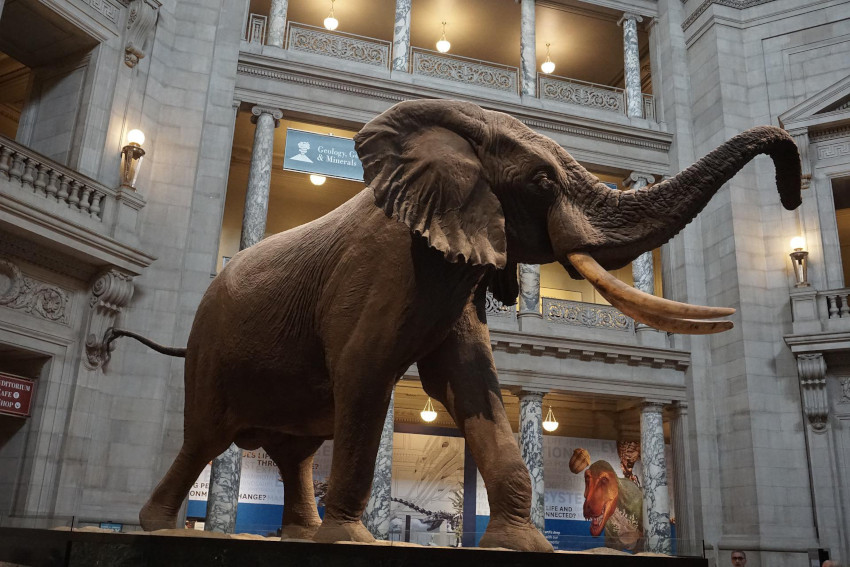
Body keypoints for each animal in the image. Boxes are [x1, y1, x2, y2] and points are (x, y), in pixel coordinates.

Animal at [122, 100, 800, 552]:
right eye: (543, 181)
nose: (792, 195)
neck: (461, 139)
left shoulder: (454, 274)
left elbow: (470, 383)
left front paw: (522, 545)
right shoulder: (389, 264)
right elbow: (366, 373)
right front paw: (351, 539)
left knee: (296, 450)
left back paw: (300, 533)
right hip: (211, 348)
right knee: (205, 437)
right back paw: (159, 525)